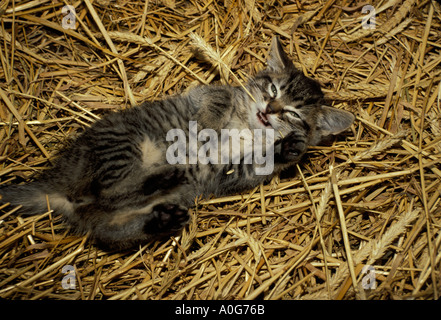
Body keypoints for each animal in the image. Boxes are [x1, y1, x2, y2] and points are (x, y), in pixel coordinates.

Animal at [0, 37, 350, 250]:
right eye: (273, 90)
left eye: (293, 114)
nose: (269, 110)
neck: (249, 127)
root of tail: (59, 179)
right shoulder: (208, 93)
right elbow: (216, 99)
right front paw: (208, 127)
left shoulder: (231, 171)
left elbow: (258, 162)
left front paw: (287, 148)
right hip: (121, 145)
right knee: (104, 190)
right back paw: (165, 176)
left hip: (112, 204)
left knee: (109, 223)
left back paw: (161, 215)